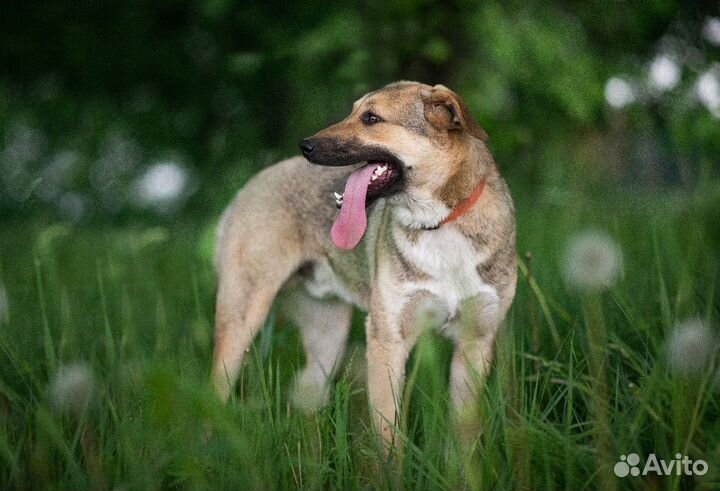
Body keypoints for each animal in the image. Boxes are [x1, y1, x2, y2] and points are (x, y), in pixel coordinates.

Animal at [211, 80, 516, 450]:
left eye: (371, 118)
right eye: (353, 111)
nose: (305, 146)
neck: (440, 223)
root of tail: (251, 184)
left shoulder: (475, 343)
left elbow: (464, 441)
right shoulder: (387, 340)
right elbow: (389, 439)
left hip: (327, 337)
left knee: (307, 397)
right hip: (240, 323)